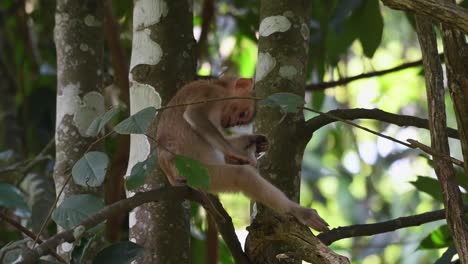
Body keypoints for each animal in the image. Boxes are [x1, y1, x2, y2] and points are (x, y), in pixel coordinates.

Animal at [157, 76, 330, 231]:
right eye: (241, 114)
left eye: (239, 120)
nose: (230, 123)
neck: (216, 84)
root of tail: (171, 174)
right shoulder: (211, 94)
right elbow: (194, 115)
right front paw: (238, 153)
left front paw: (257, 141)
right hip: (201, 174)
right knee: (242, 176)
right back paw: (298, 211)